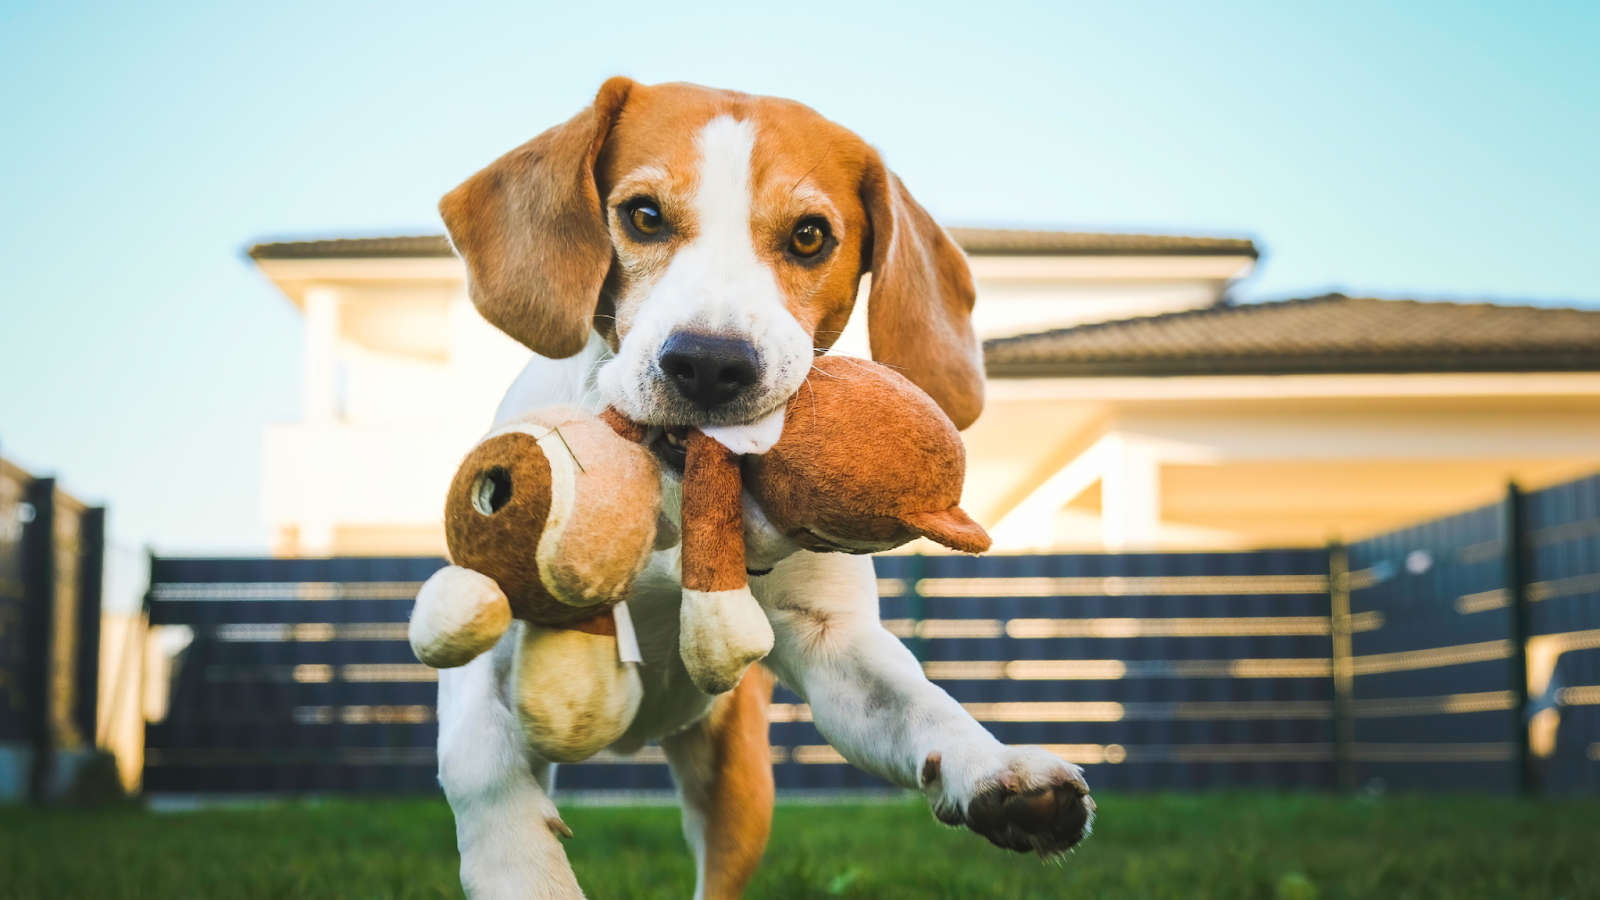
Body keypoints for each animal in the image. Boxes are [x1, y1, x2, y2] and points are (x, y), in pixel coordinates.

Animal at [432, 78, 1094, 896]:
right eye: (643, 215)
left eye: (809, 236)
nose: (710, 363)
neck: (677, 489)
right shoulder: (486, 642)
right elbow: (481, 771)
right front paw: (521, 867)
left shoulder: (831, 642)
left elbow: (920, 702)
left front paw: (995, 770)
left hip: (738, 787)